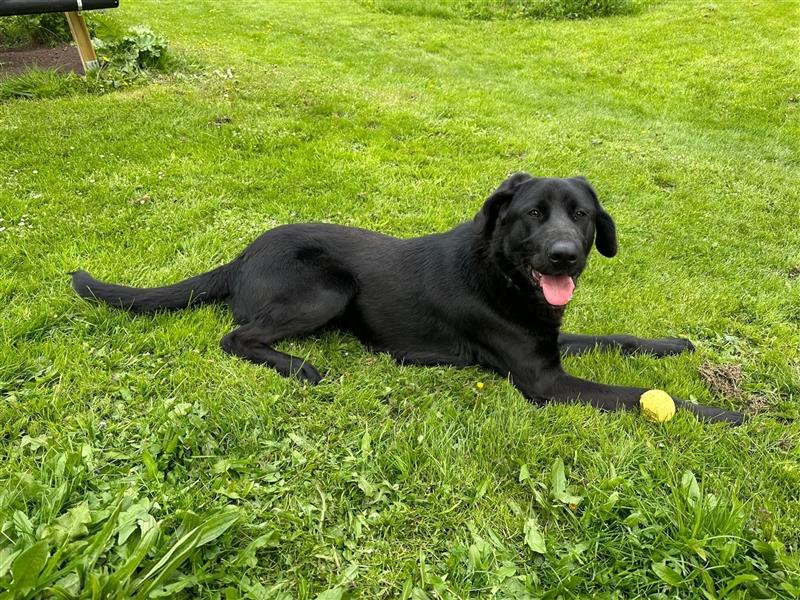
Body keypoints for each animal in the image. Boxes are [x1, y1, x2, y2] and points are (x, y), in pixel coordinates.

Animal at [73, 173, 744, 424]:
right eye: (533, 215)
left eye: (580, 216)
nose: (564, 256)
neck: (502, 275)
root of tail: (242, 253)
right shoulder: (543, 381)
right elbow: (635, 395)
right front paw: (718, 412)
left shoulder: (547, 341)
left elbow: (618, 338)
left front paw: (671, 344)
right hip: (329, 288)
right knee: (236, 335)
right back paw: (301, 367)